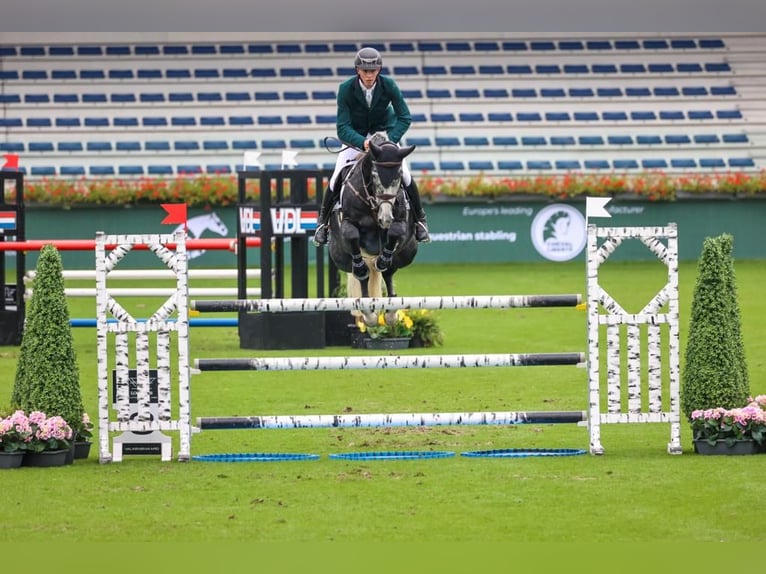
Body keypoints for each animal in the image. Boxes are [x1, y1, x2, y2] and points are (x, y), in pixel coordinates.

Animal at [326, 137, 416, 328]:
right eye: (374, 175)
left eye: (399, 176)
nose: (385, 218)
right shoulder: (347, 224)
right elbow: (352, 236)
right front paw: (361, 268)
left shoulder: (401, 224)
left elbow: (395, 232)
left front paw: (382, 260)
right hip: (341, 258)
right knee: (362, 276)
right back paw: (368, 312)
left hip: (406, 254)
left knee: (389, 272)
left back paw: (390, 311)